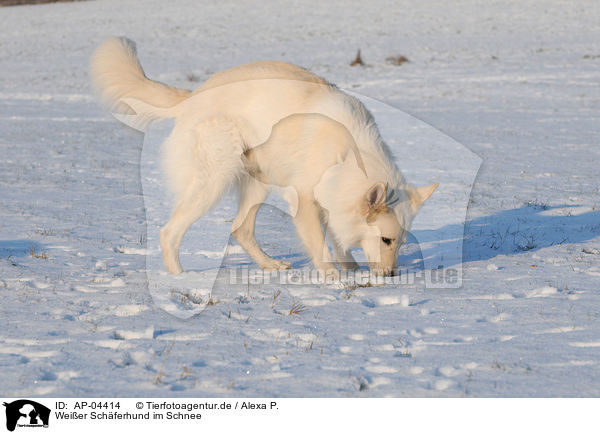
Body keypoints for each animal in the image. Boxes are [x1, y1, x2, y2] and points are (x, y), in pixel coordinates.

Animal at [90, 36, 436, 274]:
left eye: (401, 242)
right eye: (387, 240)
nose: (391, 276)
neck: (350, 152)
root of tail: (193, 96)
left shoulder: (332, 201)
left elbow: (338, 238)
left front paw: (349, 268)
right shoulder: (305, 201)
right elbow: (320, 244)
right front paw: (333, 276)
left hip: (257, 184)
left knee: (240, 230)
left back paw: (270, 265)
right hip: (214, 181)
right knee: (170, 232)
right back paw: (179, 278)